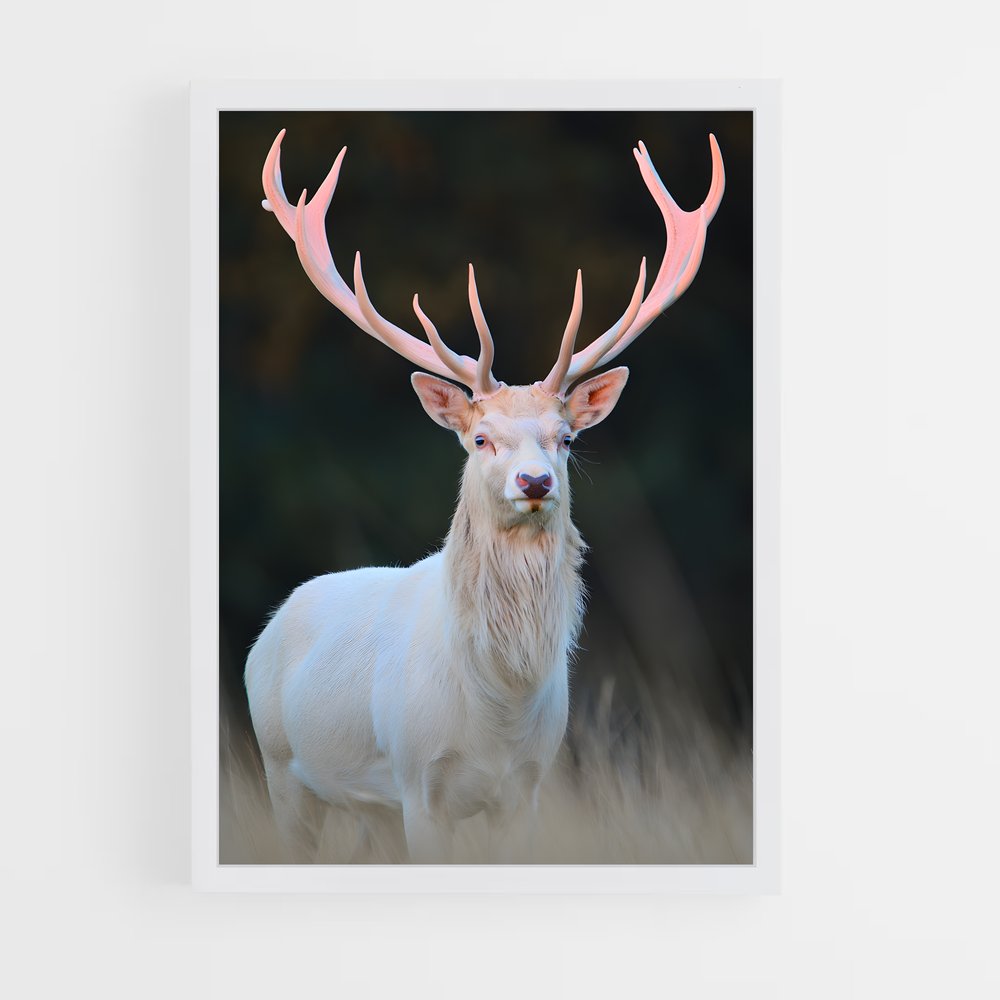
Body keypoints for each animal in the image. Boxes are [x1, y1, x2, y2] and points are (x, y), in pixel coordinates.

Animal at [244, 128, 724, 863]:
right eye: (480, 439)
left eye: (565, 437)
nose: (535, 481)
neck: (496, 714)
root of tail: (270, 625)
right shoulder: (417, 783)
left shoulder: (527, 789)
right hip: (282, 772)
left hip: (366, 810)